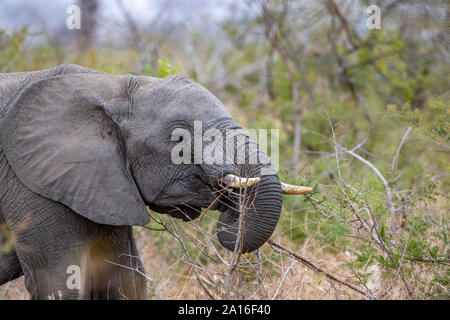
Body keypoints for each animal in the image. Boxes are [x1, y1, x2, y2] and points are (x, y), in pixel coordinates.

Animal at [0, 63, 310, 298]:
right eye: (181, 136)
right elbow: (61, 281)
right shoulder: (27, 184)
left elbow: (127, 279)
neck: (111, 85)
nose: (232, 212)